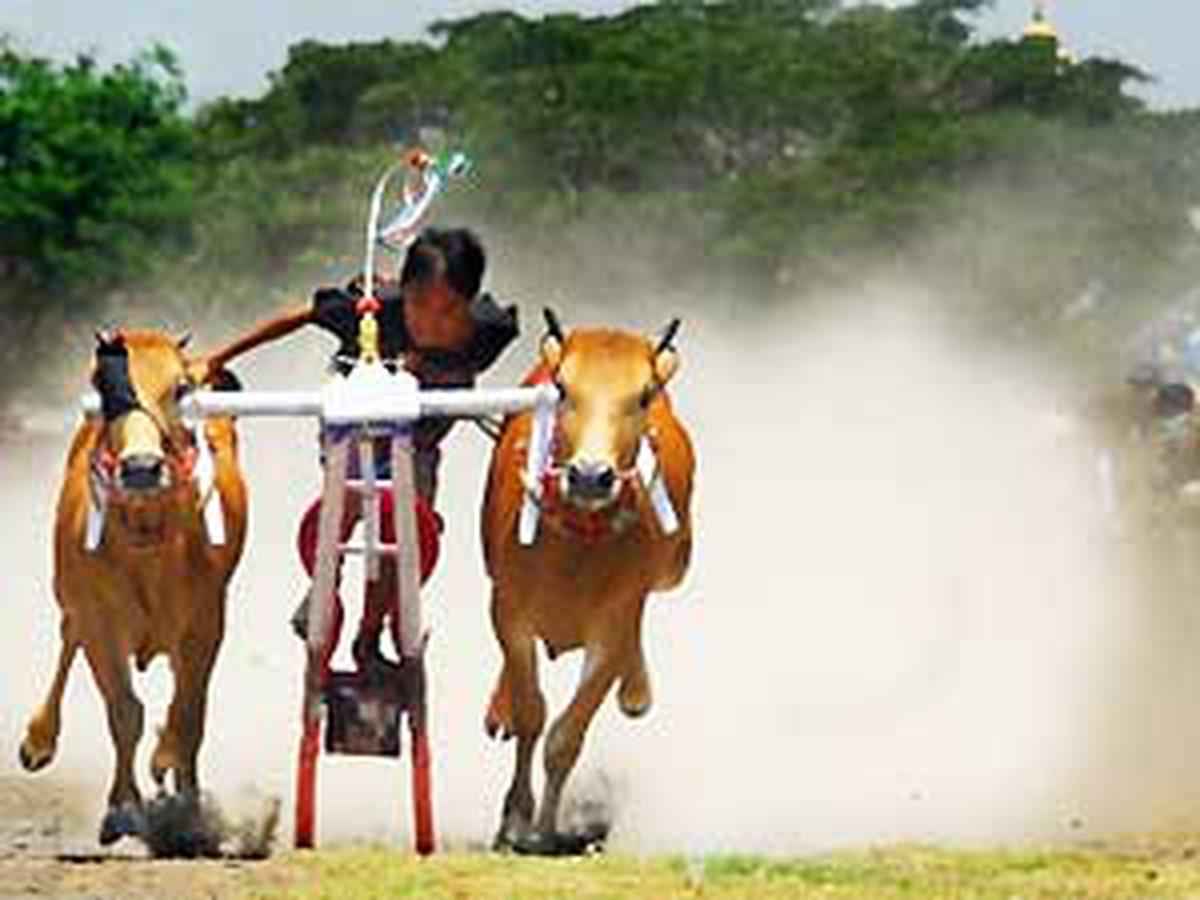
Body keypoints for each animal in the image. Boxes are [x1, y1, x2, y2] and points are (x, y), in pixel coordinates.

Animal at [19, 333, 248, 854]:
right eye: (104, 388)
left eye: (179, 389)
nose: (141, 468)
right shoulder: (99, 620)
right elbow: (125, 711)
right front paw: (122, 808)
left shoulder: (206, 623)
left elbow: (188, 714)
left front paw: (186, 805)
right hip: (69, 598)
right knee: (68, 639)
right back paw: (38, 740)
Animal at [482, 314, 696, 854]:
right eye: (563, 389)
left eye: (643, 395)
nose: (590, 475)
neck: (576, 545)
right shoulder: (508, 611)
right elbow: (532, 712)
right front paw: (514, 818)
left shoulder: (613, 624)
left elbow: (566, 735)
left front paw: (542, 829)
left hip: (673, 568)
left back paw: (636, 690)